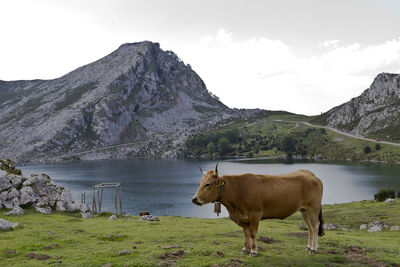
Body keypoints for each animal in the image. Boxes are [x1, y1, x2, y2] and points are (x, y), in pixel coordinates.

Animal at [192, 165, 324, 258]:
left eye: (208, 184)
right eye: (200, 183)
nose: (194, 199)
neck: (239, 190)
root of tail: (308, 173)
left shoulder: (255, 214)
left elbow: (252, 233)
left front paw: (254, 251)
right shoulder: (243, 217)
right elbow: (245, 233)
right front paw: (245, 249)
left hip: (313, 208)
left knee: (315, 226)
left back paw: (314, 249)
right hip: (304, 210)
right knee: (310, 228)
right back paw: (308, 247)